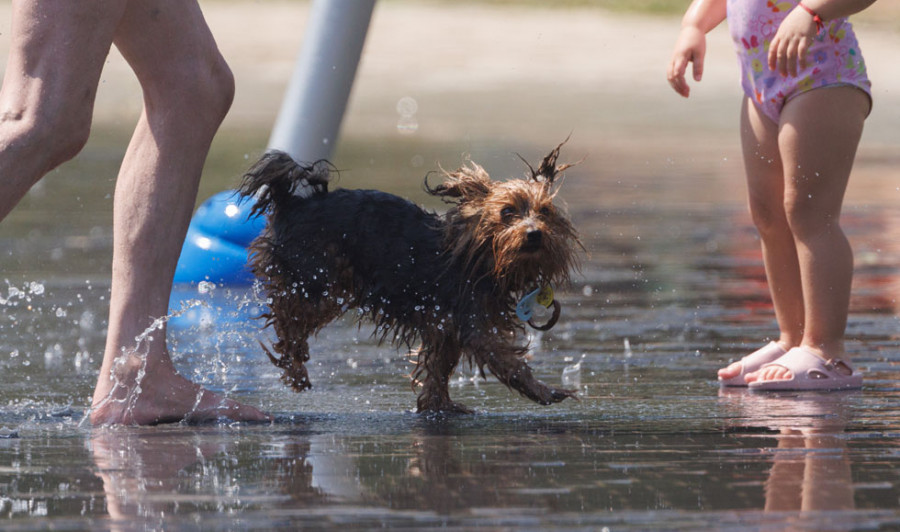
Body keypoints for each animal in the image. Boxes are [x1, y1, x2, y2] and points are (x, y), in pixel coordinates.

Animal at [239, 143, 580, 414]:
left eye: (545, 212)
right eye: (507, 212)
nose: (534, 233)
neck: (483, 259)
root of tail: (292, 203)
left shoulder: (446, 327)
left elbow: (438, 369)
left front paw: (438, 405)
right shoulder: (473, 321)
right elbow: (509, 362)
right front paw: (545, 390)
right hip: (316, 280)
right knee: (288, 319)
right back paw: (296, 369)